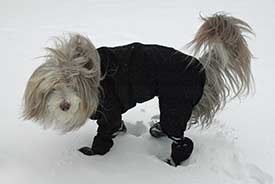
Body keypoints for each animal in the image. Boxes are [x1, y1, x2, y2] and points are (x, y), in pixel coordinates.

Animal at [22, 12, 256, 165]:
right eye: (52, 89)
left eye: (73, 85)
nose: (65, 105)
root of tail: (199, 67)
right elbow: (117, 127)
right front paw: (119, 133)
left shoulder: (109, 112)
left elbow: (104, 135)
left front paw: (93, 155)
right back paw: (158, 131)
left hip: (175, 103)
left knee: (183, 141)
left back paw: (172, 161)